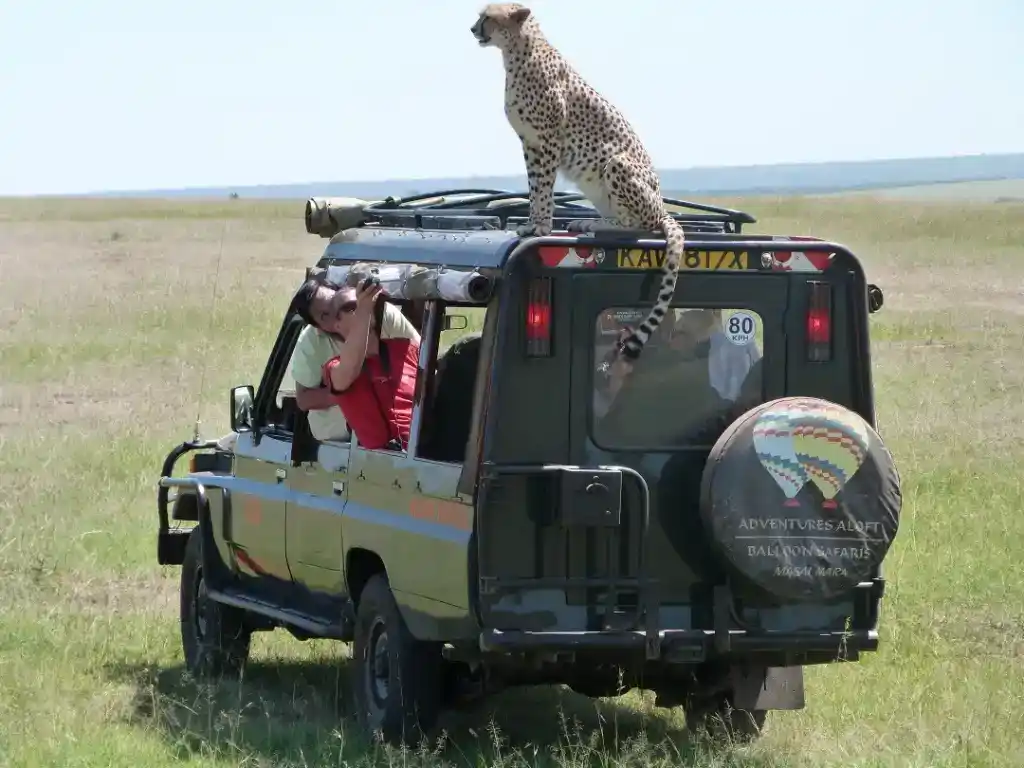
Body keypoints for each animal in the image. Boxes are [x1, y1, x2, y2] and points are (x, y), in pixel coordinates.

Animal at [471, 2, 686, 361]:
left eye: (488, 16)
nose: (473, 29)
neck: (517, 51)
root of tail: (662, 205)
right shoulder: (530, 144)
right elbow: (535, 188)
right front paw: (533, 223)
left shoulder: (547, 141)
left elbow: (543, 188)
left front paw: (540, 227)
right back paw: (588, 221)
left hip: (616, 162)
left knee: (639, 224)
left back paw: (594, 224)